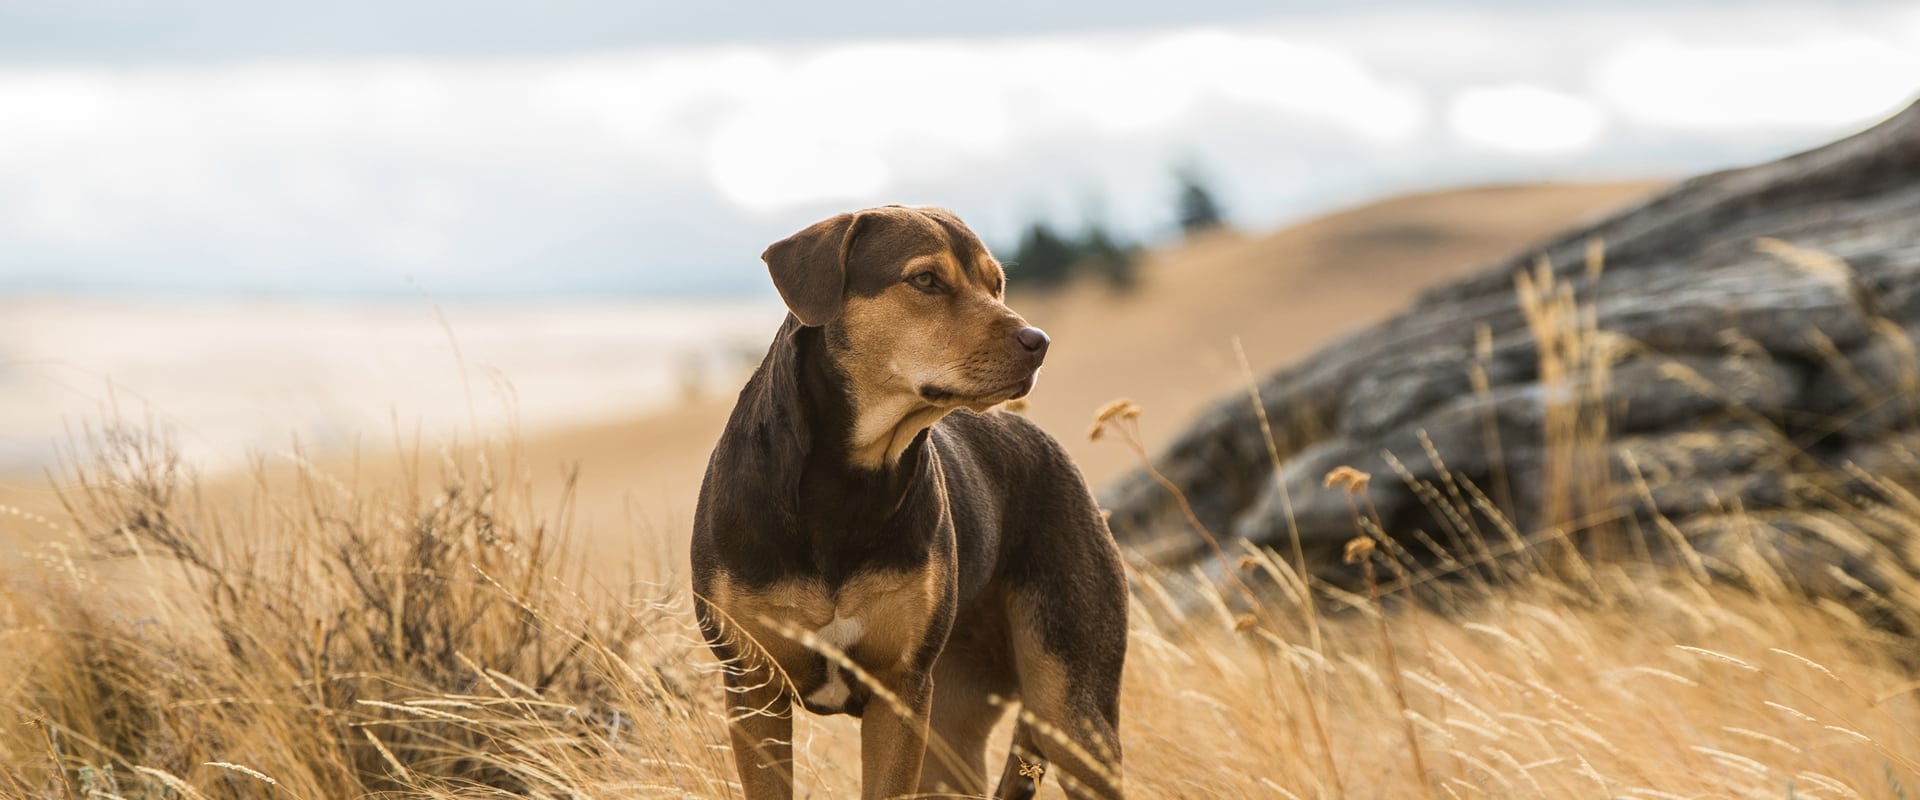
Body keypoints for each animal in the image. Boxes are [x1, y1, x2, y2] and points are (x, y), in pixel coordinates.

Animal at [695, 202, 1121, 794]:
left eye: (996, 285)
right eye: (925, 280)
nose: (1039, 341)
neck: (850, 481)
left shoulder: (900, 691)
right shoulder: (754, 688)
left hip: (1071, 708)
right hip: (955, 731)